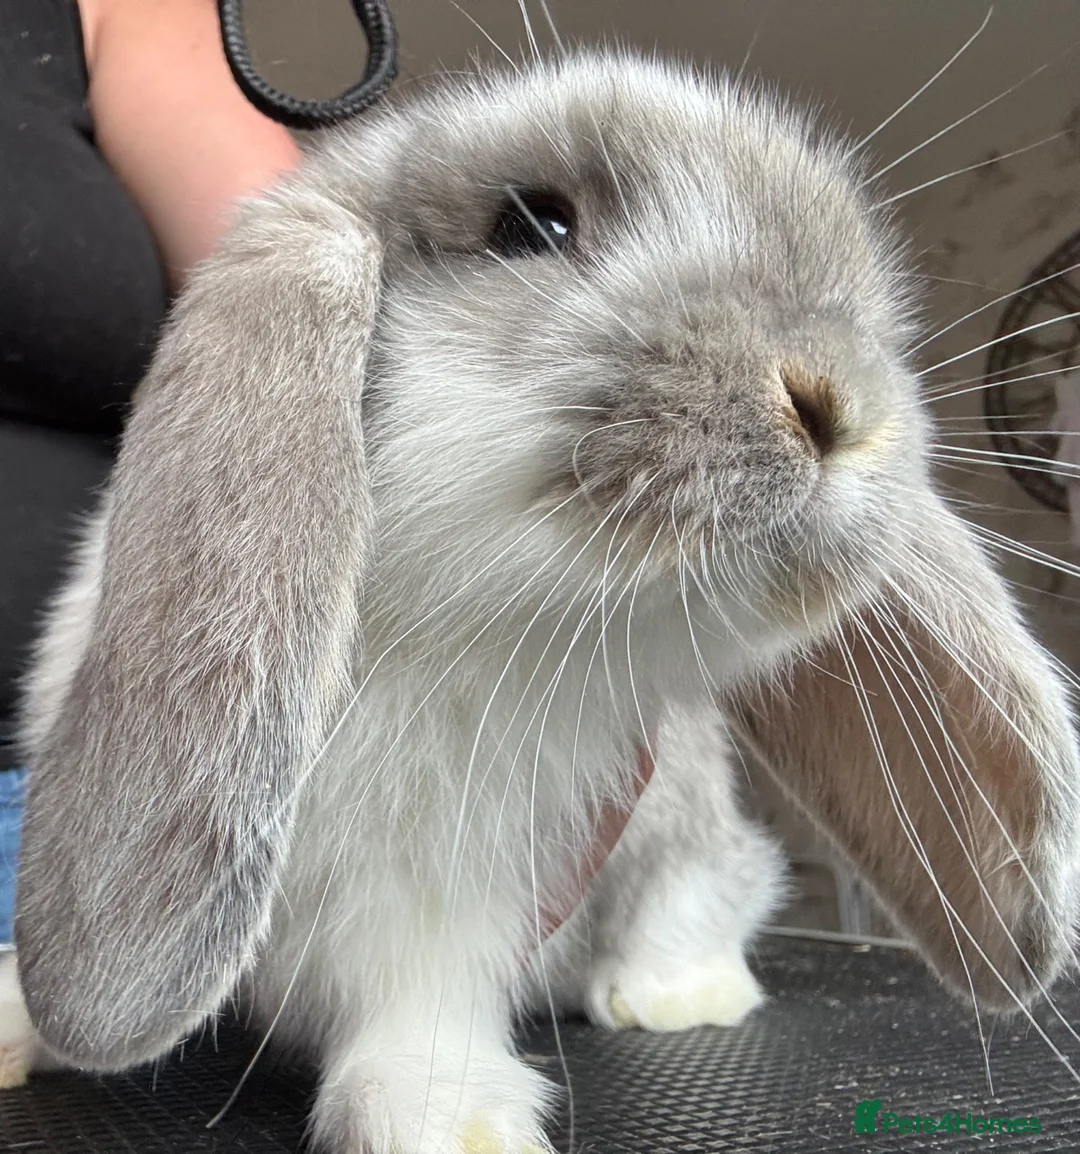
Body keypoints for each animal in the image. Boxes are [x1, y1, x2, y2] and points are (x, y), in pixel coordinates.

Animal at [6, 50, 1080, 1154]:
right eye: (533, 225)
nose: (834, 400)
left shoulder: (449, 892)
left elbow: (419, 992)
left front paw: (440, 1117)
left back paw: (673, 994)